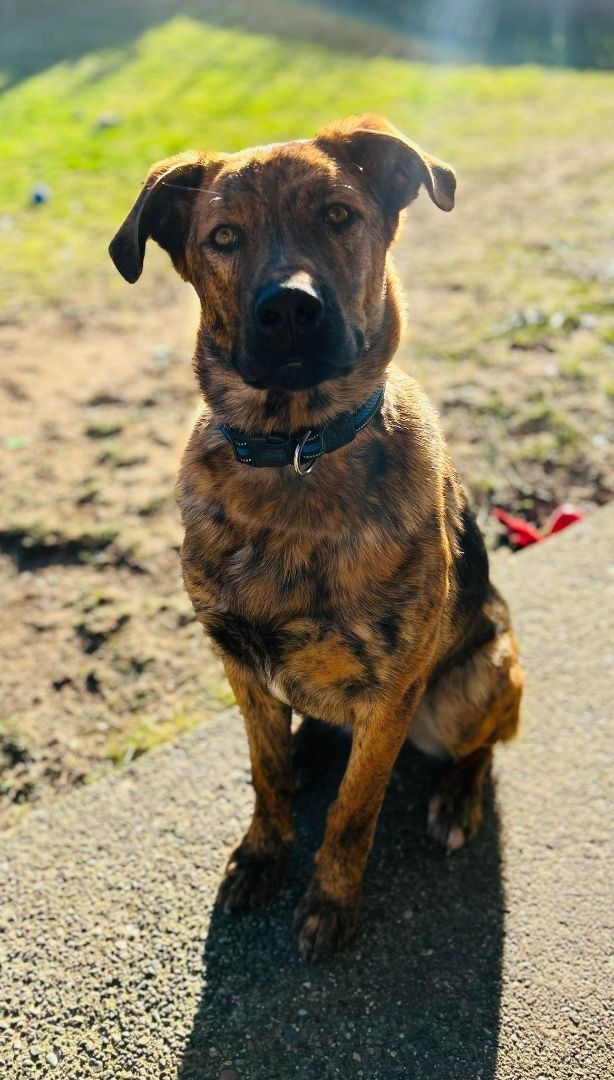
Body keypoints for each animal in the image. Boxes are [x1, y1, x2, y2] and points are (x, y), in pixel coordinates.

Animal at [110, 116, 522, 963]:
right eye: (224, 237)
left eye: (338, 215)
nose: (290, 310)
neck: (295, 451)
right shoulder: (240, 665)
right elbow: (266, 778)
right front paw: (262, 853)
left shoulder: (392, 693)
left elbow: (354, 810)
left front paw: (330, 900)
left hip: (477, 679)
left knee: (481, 747)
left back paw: (456, 796)